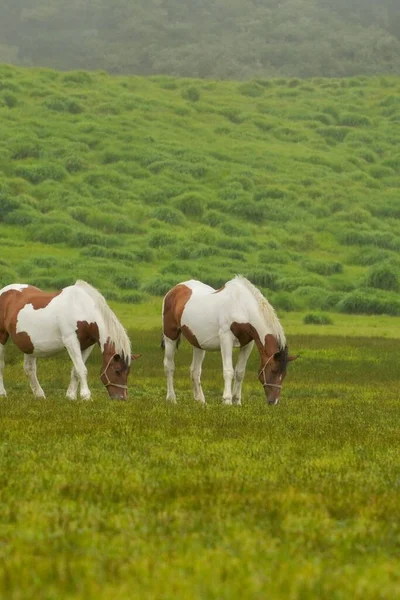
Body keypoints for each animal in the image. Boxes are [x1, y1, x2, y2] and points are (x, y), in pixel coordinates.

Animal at [0, 278, 141, 400]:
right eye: (117, 371)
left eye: (128, 372)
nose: (121, 398)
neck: (82, 309)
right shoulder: (71, 342)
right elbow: (82, 369)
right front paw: (86, 396)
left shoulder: (86, 346)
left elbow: (75, 370)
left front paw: (71, 396)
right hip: (2, 337)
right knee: (2, 365)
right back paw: (3, 393)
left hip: (30, 345)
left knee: (30, 369)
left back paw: (39, 395)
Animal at [162, 274, 296, 406]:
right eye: (273, 370)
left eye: (284, 374)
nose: (273, 401)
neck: (242, 307)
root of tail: (173, 290)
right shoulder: (226, 339)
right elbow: (228, 371)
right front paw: (227, 400)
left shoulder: (248, 344)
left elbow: (240, 372)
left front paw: (237, 400)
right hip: (170, 337)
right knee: (169, 366)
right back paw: (172, 398)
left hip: (198, 343)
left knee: (195, 370)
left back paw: (200, 400)